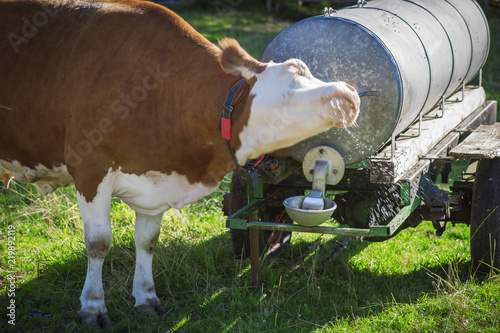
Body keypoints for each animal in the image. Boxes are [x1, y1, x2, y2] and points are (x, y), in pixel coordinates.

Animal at [0, 0, 360, 326]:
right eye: (292, 76)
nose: (350, 93)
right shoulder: (90, 167)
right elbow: (98, 242)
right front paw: (93, 307)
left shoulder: (157, 180)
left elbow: (147, 241)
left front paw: (146, 298)